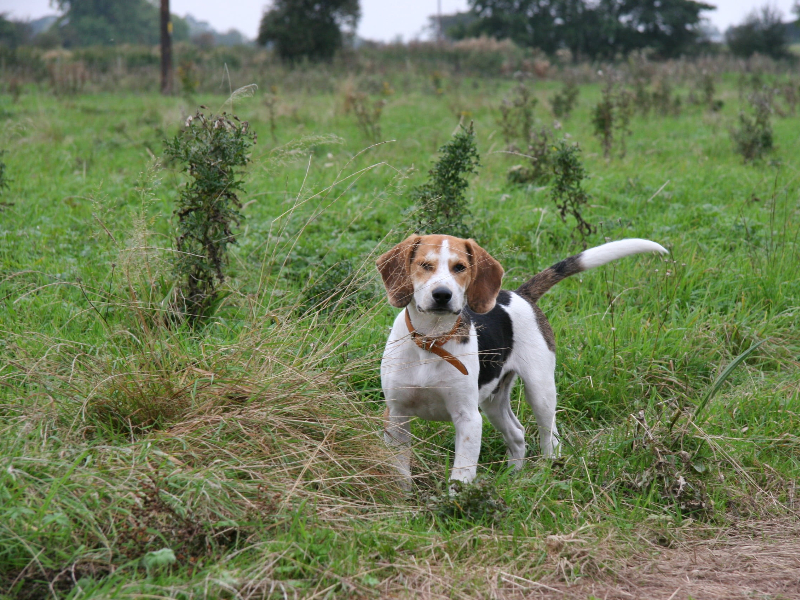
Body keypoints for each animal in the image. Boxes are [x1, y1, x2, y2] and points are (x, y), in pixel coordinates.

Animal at [378, 234, 664, 488]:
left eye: (460, 267)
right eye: (425, 265)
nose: (442, 294)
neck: (431, 341)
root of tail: (520, 295)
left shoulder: (468, 419)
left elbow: (461, 474)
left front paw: (453, 505)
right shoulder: (396, 415)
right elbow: (399, 471)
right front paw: (403, 502)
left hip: (540, 392)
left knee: (550, 438)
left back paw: (546, 474)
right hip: (493, 401)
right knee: (517, 434)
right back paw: (513, 478)